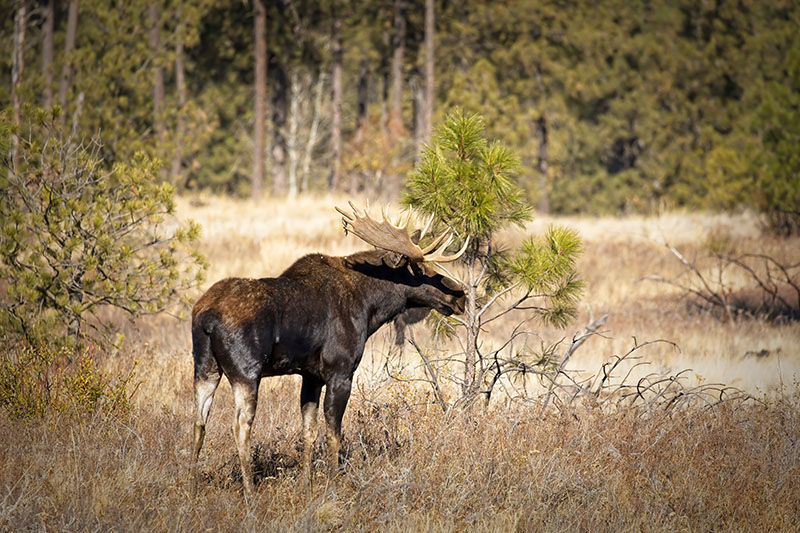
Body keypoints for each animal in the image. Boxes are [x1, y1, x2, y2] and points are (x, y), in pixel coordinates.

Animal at [190, 202, 468, 496]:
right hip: (246, 372)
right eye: (418, 270)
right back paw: (250, 491)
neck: (371, 309)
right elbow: (334, 432)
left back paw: (191, 484)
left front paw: (307, 484)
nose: (459, 295)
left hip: (205, 368)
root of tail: (206, 317)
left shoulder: (311, 376)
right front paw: (332, 483)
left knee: (198, 421)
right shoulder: (340, 371)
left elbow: (309, 431)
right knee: (240, 426)